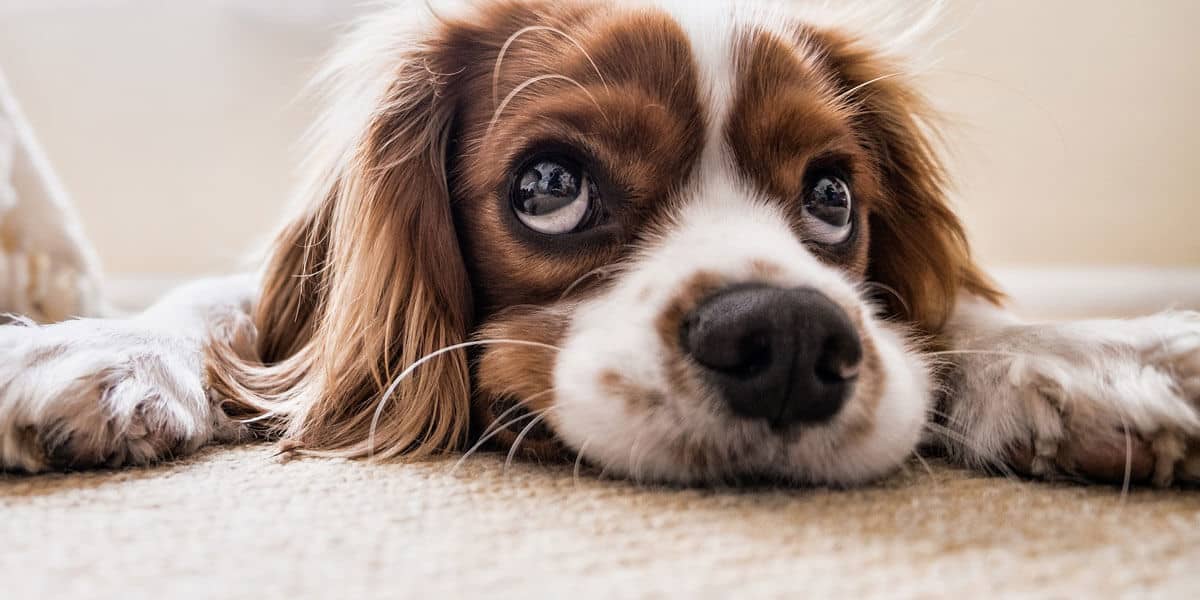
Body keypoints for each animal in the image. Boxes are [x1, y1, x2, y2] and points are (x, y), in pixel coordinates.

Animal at [2, 1, 1200, 487]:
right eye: (548, 187)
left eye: (831, 198)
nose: (787, 340)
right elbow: (215, 305)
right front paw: (87, 349)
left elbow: (955, 316)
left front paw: (1089, 359)